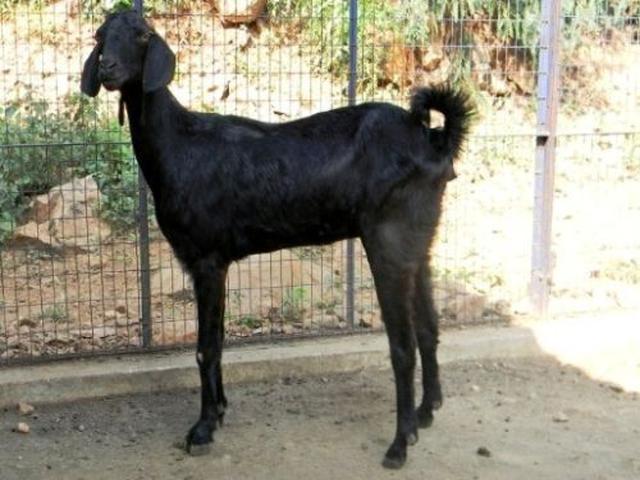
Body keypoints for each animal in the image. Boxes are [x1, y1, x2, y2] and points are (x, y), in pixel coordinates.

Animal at [81, 11, 474, 469]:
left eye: (143, 35)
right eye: (100, 36)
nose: (107, 68)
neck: (180, 143)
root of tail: (434, 139)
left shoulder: (206, 259)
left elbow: (205, 348)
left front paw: (202, 429)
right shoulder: (218, 263)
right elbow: (217, 341)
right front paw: (219, 412)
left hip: (388, 241)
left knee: (403, 345)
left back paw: (400, 443)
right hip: (420, 241)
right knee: (429, 326)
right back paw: (427, 411)